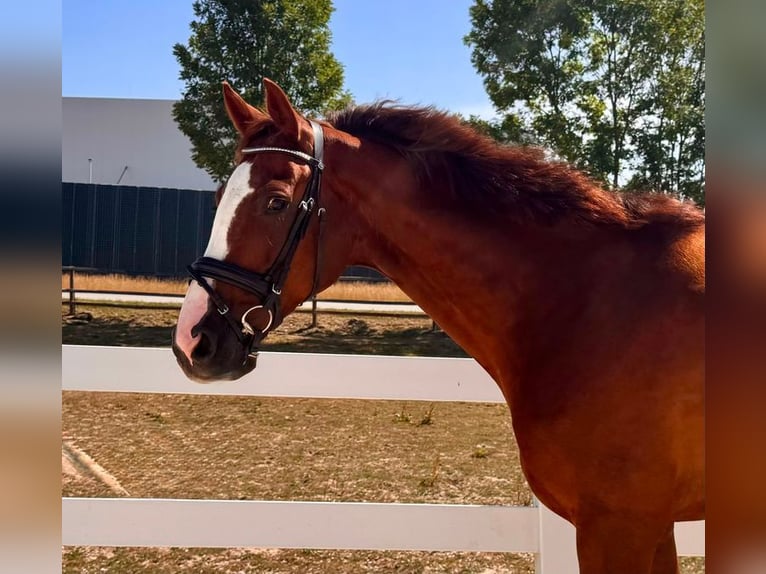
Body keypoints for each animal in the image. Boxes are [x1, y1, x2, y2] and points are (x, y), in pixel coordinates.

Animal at [172, 79, 704, 573]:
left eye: (277, 202)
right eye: (219, 196)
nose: (191, 341)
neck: (585, 301)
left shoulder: (620, 528)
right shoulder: (651, 528)